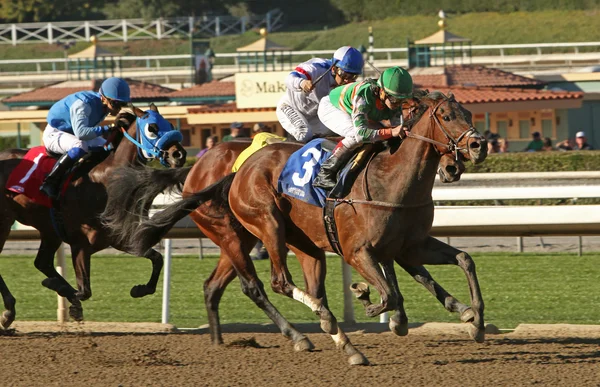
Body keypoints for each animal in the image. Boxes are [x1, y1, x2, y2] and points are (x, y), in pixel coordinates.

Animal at [0, 104, 186, 328]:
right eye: (152, 128)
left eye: (171, 124)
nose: (179, 154)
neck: (106, 181)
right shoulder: (80, 244)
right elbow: (84, 290)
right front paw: (59, 289)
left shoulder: (118, 236)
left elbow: (157, 259)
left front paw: (139, 289)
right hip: (5, 221)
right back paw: (9, 311)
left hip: (49, 230)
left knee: (42, 262)